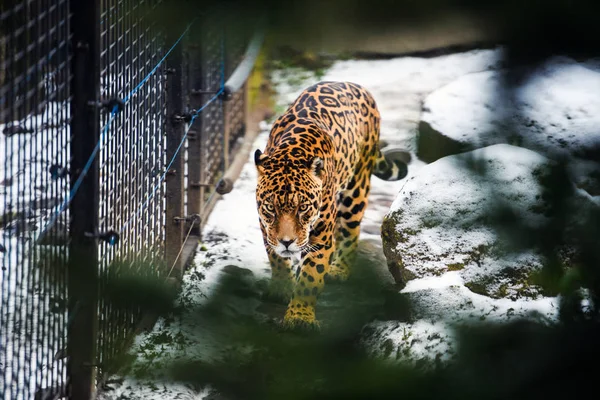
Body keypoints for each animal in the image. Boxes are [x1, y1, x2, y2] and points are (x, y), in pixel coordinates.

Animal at [253, 80, 408, 328]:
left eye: (303, 208)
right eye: (270, 208)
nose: (287, 242)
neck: (290, 153)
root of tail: (355, 85)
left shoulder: (320, 237)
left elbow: (310, 277)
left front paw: (300, 317)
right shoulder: (266, 227)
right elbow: (276, 257)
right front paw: (281, 287)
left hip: (357, 186)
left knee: (350, 230)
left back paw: (339, 268)